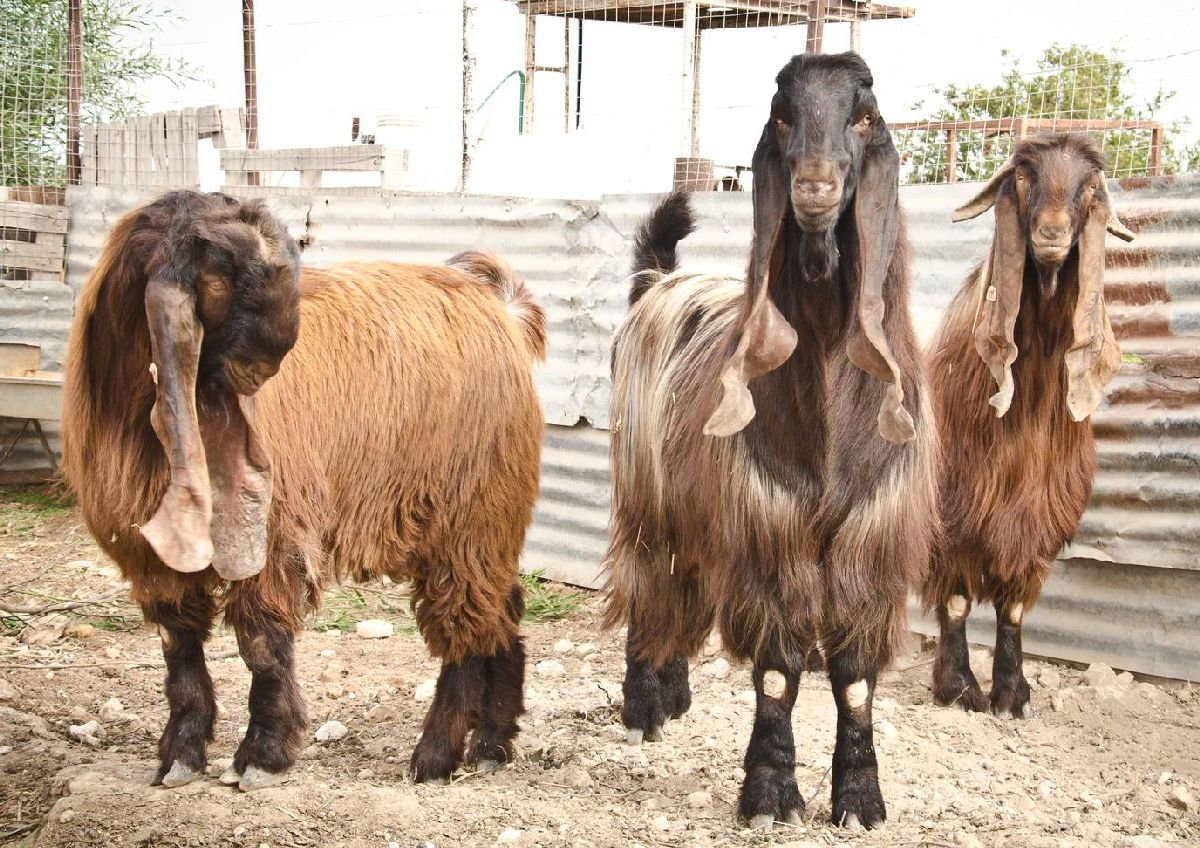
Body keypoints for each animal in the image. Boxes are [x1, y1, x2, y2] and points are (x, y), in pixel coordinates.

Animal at [57, 190, 544, 791]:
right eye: (216, 277)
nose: (271, 355)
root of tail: (502, 309)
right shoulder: (149, 554)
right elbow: (179, 647)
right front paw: (181, 755)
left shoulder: (273, 537)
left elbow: (262, 644)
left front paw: (263, 754)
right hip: (484, 527)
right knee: (503, 613)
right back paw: (492, 743)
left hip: (470, 518)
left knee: (467, 627)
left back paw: (435, 755)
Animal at [604, 56, 931, 834]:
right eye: (782, 114)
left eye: (864, 114)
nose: (813, 188)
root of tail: (657, 283)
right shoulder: (770, 529)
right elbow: (780, 671)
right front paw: (770, 794)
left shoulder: (869, 540)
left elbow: (854, 681)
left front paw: (860, 799)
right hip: (644, 494)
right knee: (647, 581)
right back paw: (644, 706)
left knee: (683, 581)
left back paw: (675, 694)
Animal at [916, 136, 1132, 719]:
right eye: (1022, 176)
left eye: (1090, 184)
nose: (1052, 234)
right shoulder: (954, 511)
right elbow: (957, 600)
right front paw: (959, 687)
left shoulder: (1037, 516)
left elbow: (1012, 608)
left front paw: (1012, 692)